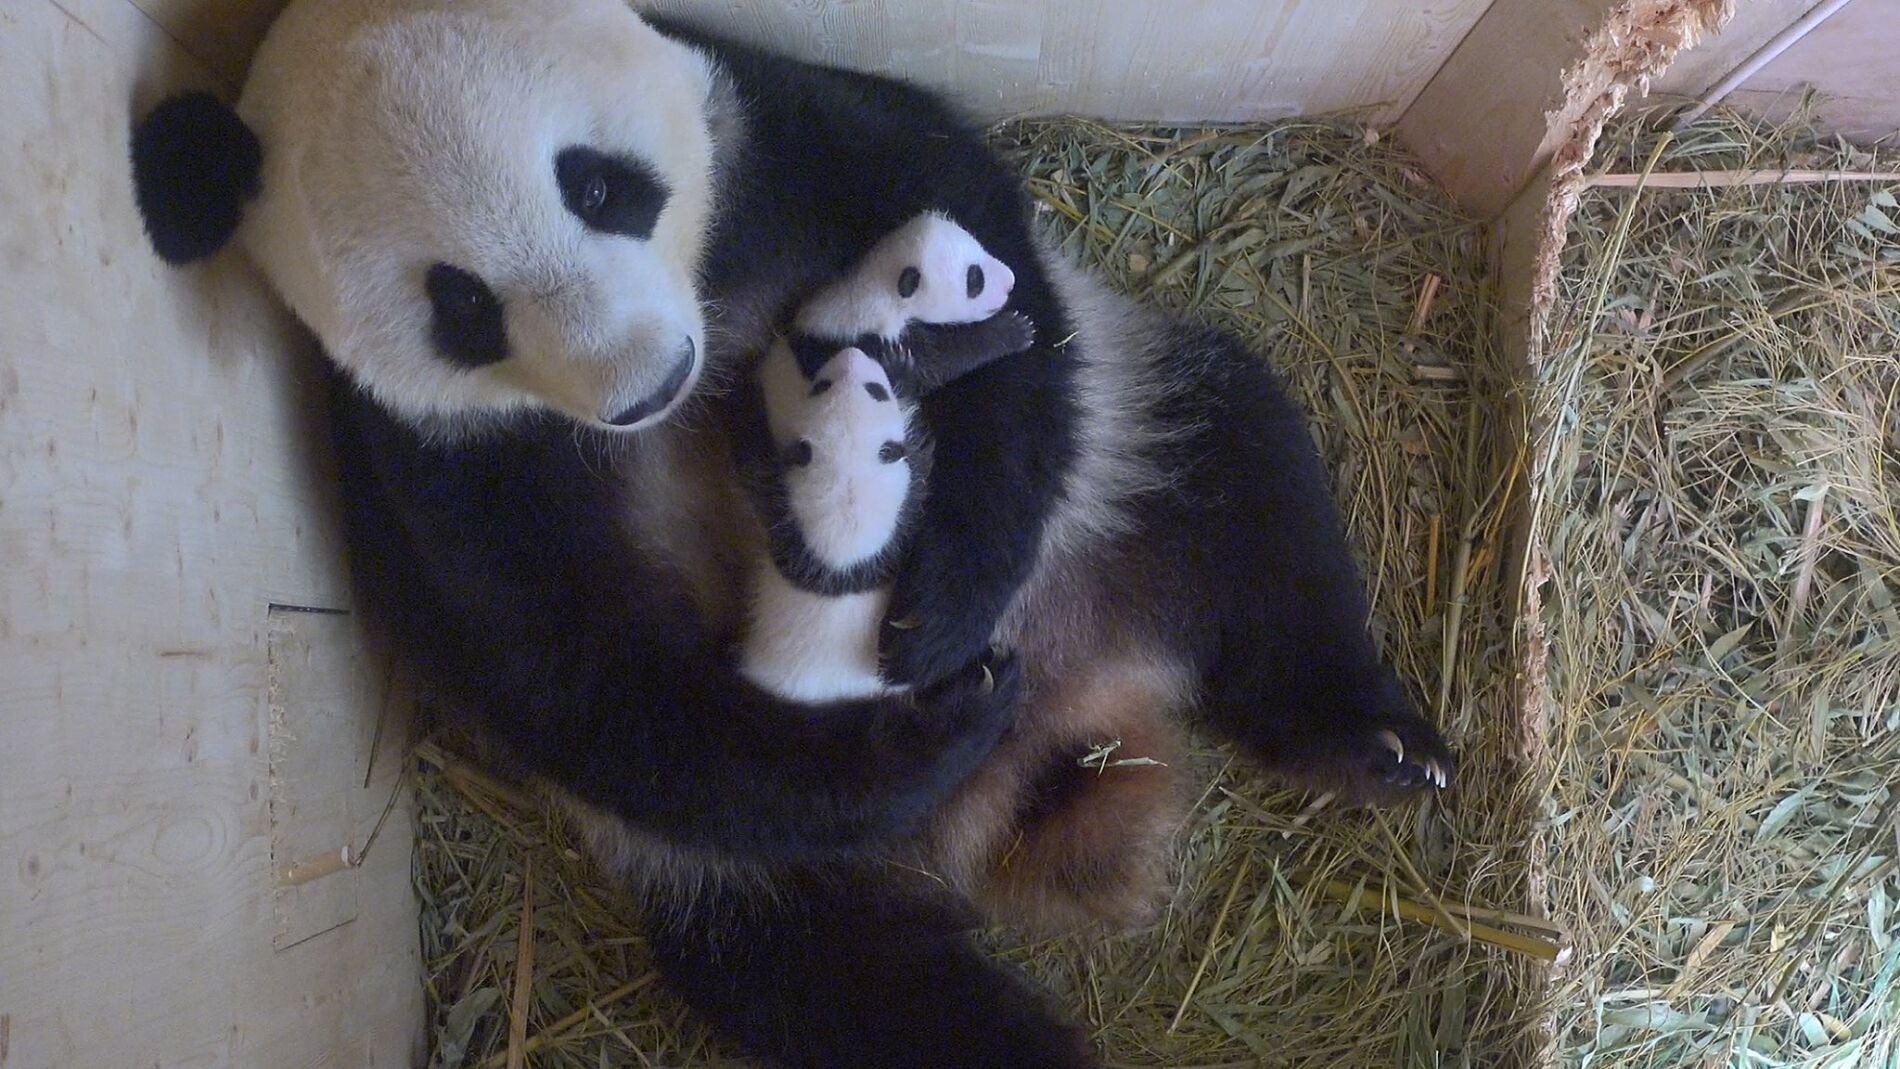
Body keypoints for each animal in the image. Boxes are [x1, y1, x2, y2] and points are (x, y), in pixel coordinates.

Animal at [128, 1, 1456, 1066]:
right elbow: (580, 678)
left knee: (1248, 489)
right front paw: (927, 723)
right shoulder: (440, 472)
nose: (648, 381)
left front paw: (945, 609)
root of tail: (1073, 726)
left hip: (1124, 469)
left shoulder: (770, 133)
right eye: (460, 305)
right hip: (757, 878)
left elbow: (972, 217)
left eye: (597, 186)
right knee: (850, 991)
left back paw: (1378, 745)